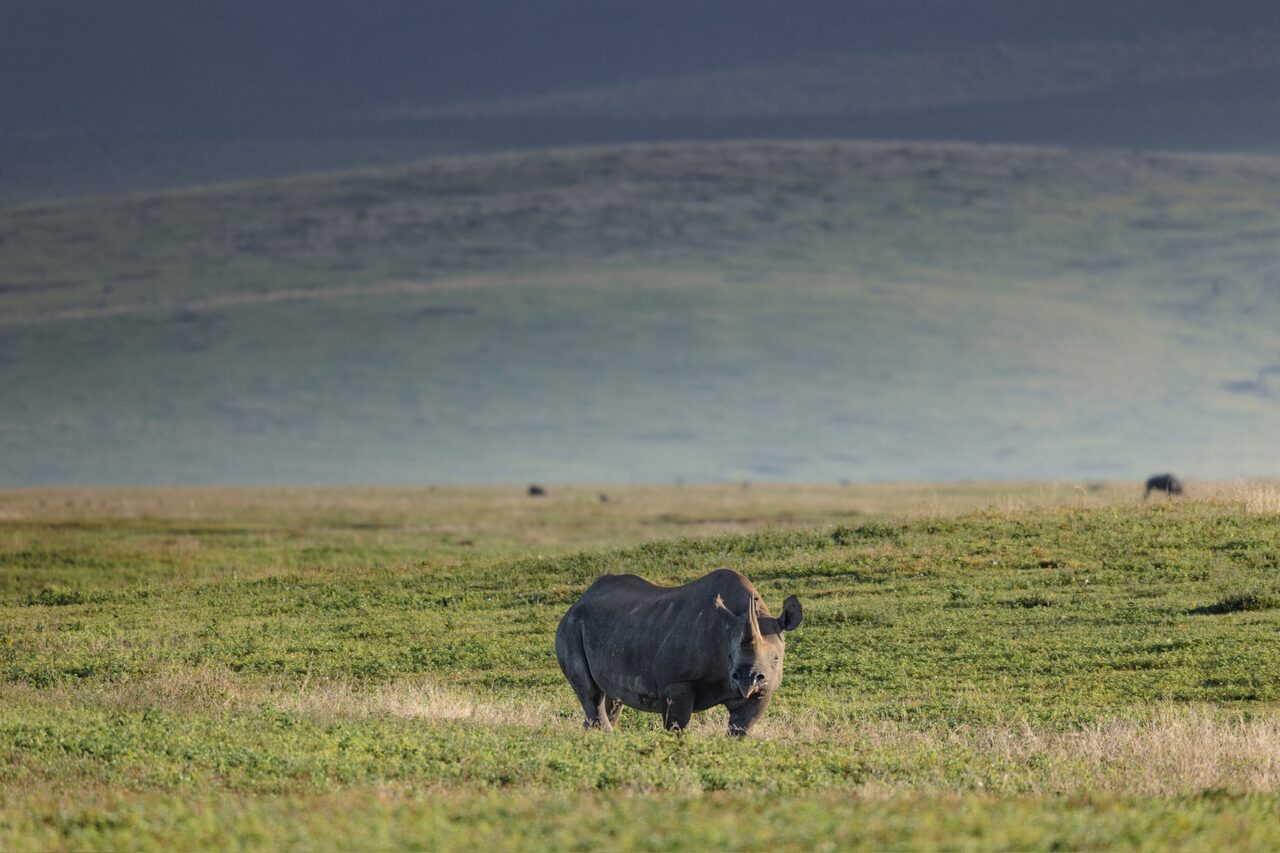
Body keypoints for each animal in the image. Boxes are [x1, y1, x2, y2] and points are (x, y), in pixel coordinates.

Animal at [555, 568, 802, 736]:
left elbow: (741, 727)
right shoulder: (676, 684)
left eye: (776, 658)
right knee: (591, 694)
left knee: (611, 699)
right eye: (730, 657)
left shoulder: (764, 689)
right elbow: (677, 727)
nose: (747, 681)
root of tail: (578, 602)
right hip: (570, 628)